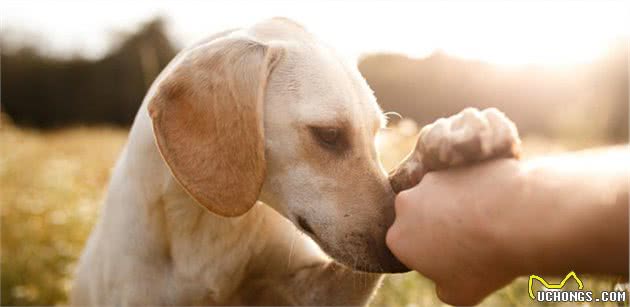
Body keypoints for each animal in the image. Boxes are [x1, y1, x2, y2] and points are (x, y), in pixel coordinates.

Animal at [71, 18, 520, 306]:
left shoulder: (316, 291)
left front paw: (451, 139)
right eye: (329, 135)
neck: (206, 226)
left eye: (376, 134)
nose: (397, 255)